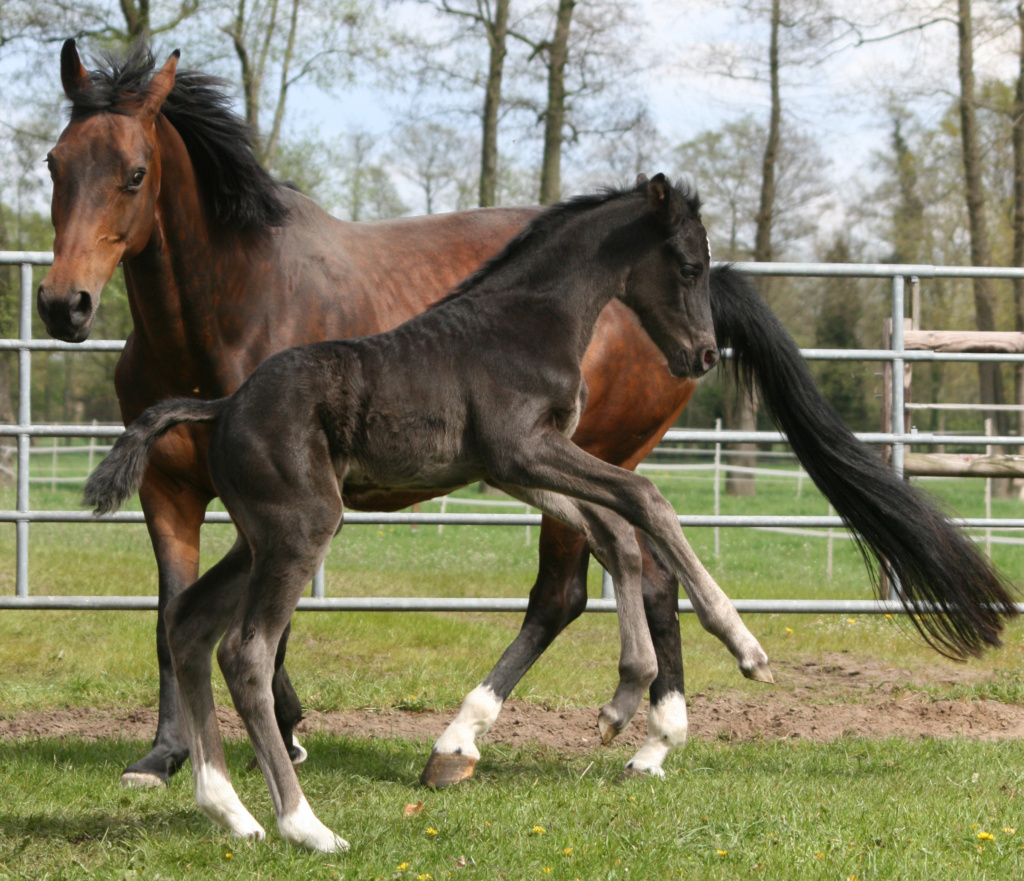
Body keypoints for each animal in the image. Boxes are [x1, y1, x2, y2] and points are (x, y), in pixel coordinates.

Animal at [83, 173, 774, 851]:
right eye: (689, 266)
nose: (703, 355)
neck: (529, 320)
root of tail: (223, 406)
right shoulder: (524, 449)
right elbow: (646, 499)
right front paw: (744, 647)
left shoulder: (512, 467)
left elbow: (613, 531)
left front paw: (625, 697)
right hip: (300, 529)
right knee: (245, 654)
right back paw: (305, 826)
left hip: (259, 539)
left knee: (189, 623)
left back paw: (230, 811)